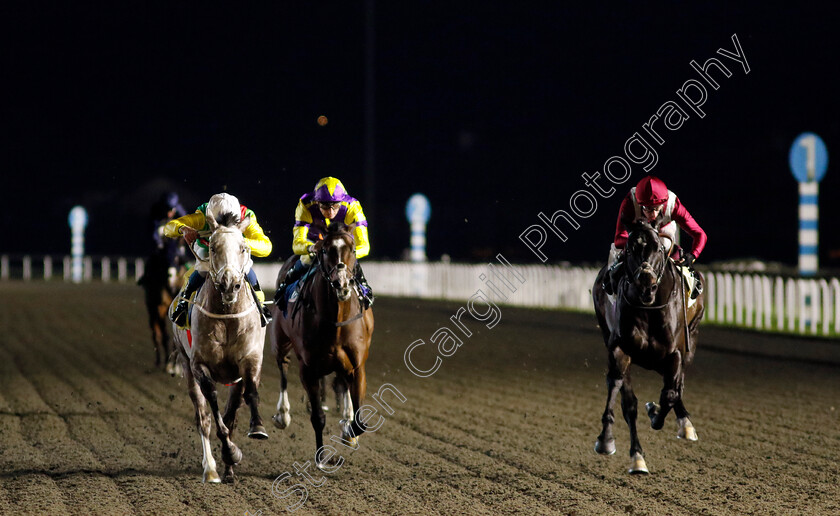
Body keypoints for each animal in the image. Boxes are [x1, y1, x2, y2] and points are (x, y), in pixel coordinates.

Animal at [168, 211, 266, 484]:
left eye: (243, 247)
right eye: (212, 247)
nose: (229, 284)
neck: (227, 318)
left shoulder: (248, 362)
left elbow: (245, 400)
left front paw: (256, 428)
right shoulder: (199, 365)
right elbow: (213, 407)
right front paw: (230, 453)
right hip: (186, 365)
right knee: (203, 418)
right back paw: (211, 469)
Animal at [270, 222, 374, 468]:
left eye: (353, 249)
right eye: (325, 250)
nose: (342, 283)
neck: (335, 322)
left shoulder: (356, 367)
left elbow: (359, 421)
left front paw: (348, 430)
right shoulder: (308, 370)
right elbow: (317, 417)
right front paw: (321, 458)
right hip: (280, 341)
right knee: (283, 367)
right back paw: (283, 414)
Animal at [592, 220, 704, 474]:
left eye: (659, 248)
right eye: (630, 249)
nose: (646, 285)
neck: (650, 309)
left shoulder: (675, 352)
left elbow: (670, 393)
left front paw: (655, 413)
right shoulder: (620, 350)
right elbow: (626, 400)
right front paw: (616, 445)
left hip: (691, 340)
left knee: (677, 385)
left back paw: (685, 423)